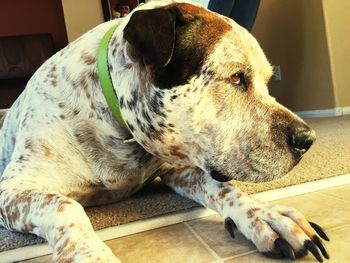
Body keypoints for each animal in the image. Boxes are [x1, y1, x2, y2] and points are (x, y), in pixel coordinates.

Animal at [0, 0, 330, 262]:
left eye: (267, 80)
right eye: (237, 77)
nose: (308, 139)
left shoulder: (181, 167)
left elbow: (223, 188)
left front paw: (267, 216)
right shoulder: (12, 189)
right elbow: (64, 205)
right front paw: (91, 254)